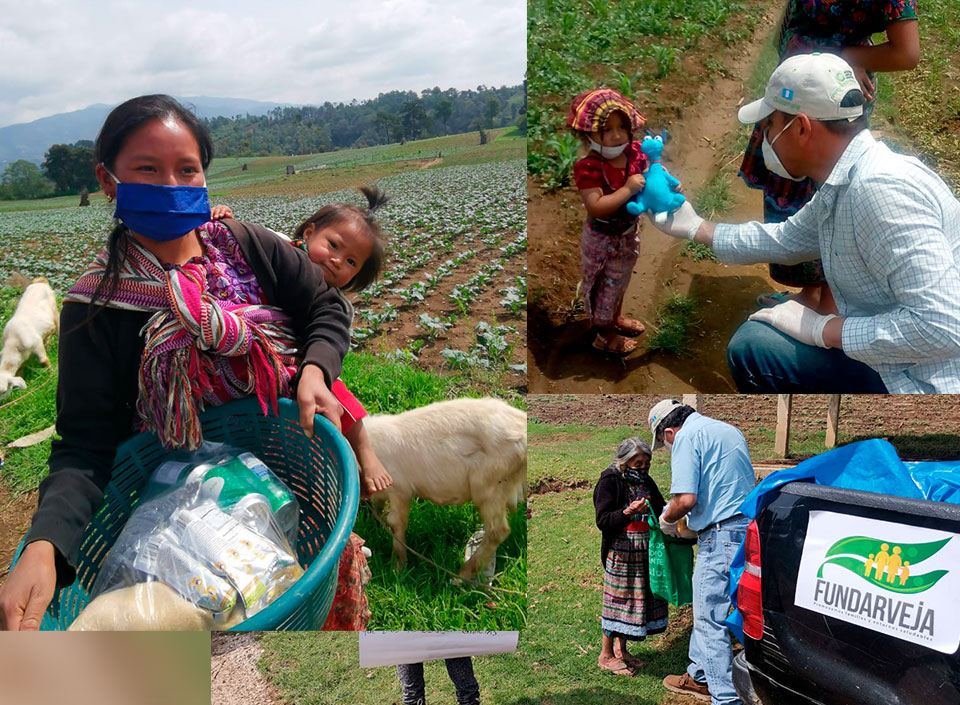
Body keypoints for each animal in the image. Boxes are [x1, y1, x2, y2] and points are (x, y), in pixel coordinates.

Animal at [364, 398, 524, 580]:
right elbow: (377, 505)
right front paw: (373, 525)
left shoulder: (400, 489)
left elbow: (396, 522)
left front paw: (396, 567)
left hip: (490, 485)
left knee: (498, 531)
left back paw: (462, 576)